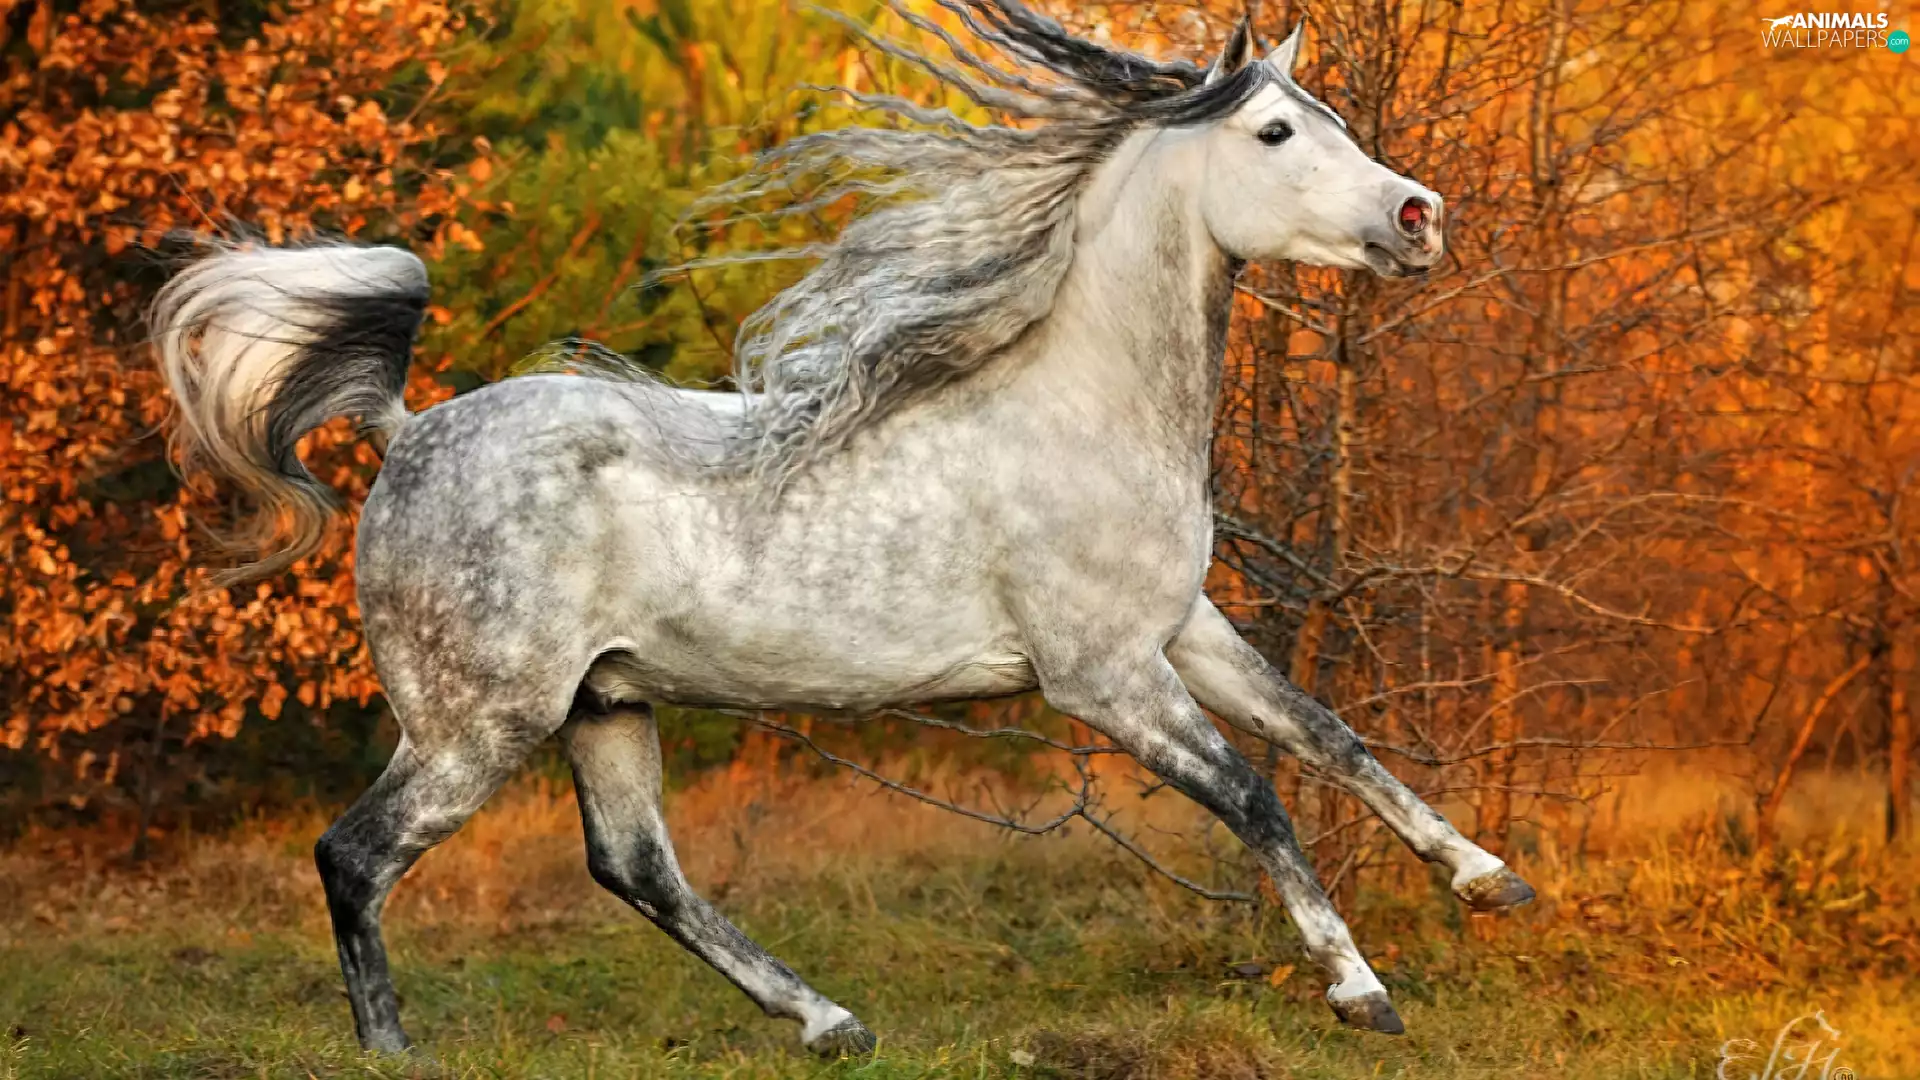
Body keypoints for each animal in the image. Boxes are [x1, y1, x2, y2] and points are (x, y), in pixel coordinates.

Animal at [150, 1, 1534, 1057]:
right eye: (1276, 129)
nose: (1421, 217)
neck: (1079, 405)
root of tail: (408, 434)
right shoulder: (1101, 677)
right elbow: (1255, 796)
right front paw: (1362, 992)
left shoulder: (1180, 629)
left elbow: (1331, 737)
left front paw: (1488, 881)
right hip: (477, 722)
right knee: (356, 856)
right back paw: (393, 1049)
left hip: (605, 703)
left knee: (637, 869)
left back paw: (830, 1024)